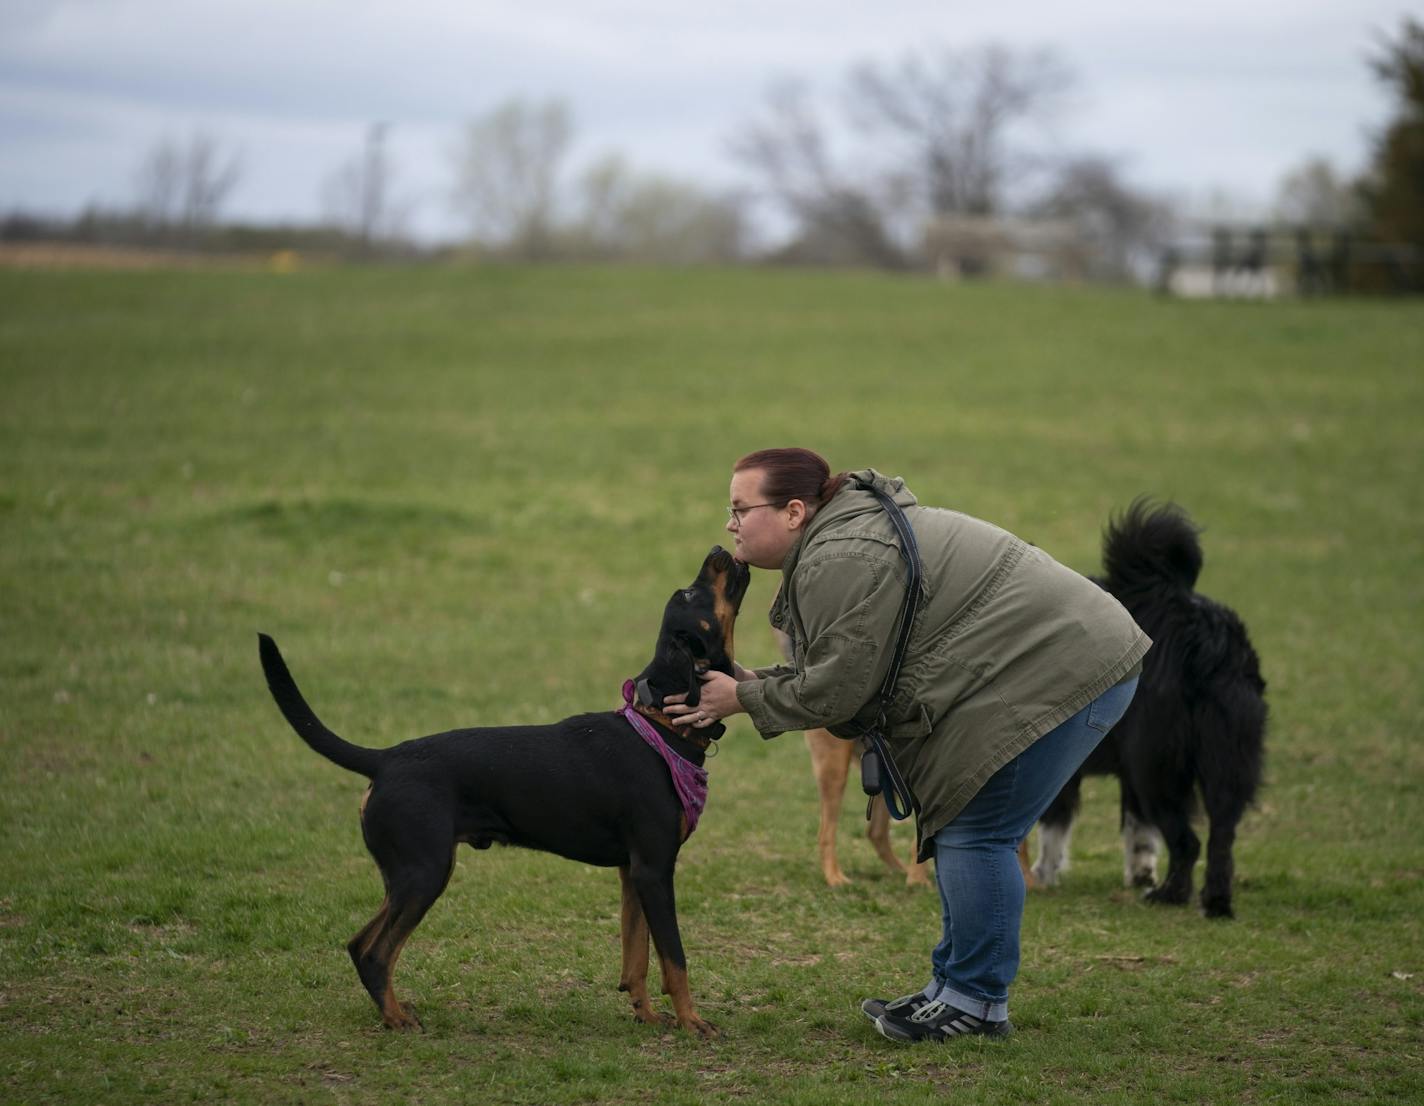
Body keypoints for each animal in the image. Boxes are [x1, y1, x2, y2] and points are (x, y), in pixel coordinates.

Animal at [257, 543, 751, 1036]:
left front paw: (646, 1014)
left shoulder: (632, 872)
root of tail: (385, 758)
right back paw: (397, 1018)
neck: (660, 726)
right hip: (425, 871)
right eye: (690, 593)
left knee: (359, 943)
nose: (719, 548)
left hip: (405, 875)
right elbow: (675, 959)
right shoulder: (654, 870)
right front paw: (692, 1021)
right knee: (375, 950)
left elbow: (637, 957)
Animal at [1036, 501, 1270, 916]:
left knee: (1188, 841)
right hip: (1220, 761)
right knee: (1220, 839)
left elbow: (1052, 824)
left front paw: (1043, 876)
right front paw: (1141, 873)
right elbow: (1138, 831)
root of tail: (1203, 636)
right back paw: (1214, 903)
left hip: (1157, 769)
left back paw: (1171, 896)